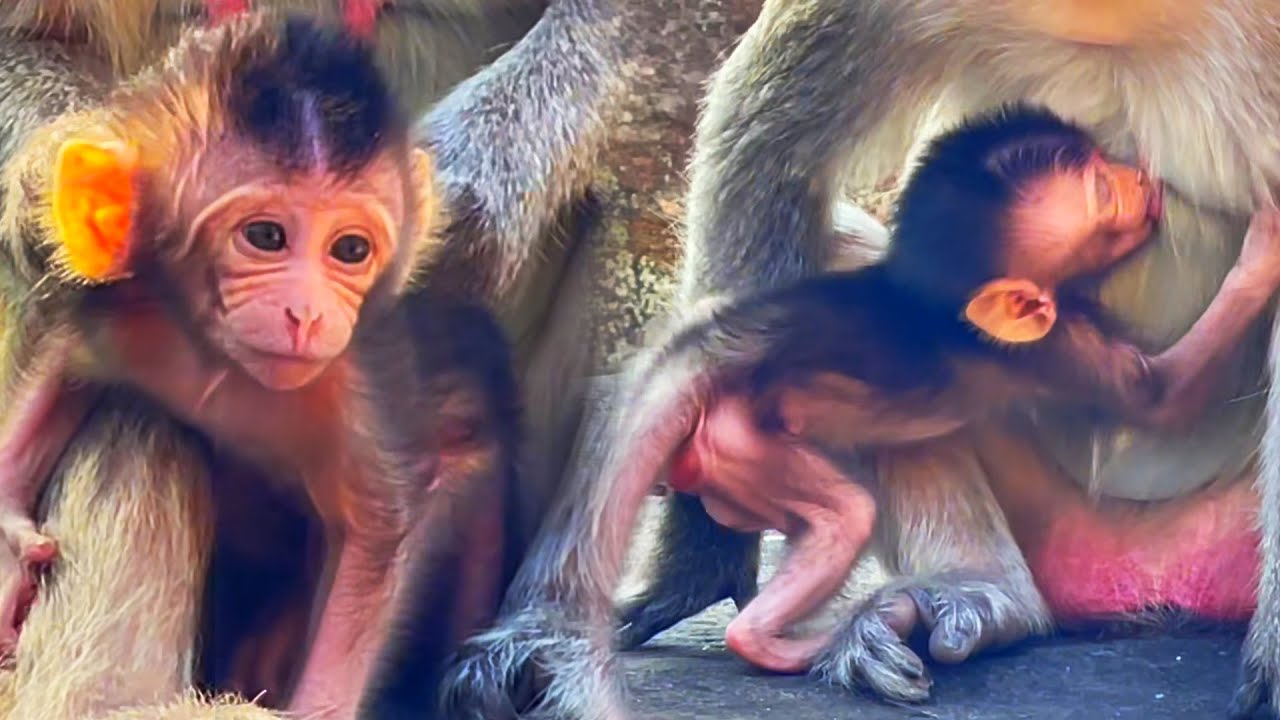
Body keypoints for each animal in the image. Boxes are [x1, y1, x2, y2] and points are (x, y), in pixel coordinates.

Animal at [0, 0, 622, 716]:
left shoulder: (353, 393)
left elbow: (375, 534)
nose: (306, 313)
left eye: (350, 249)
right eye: (265, 236)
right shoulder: (130, 308)